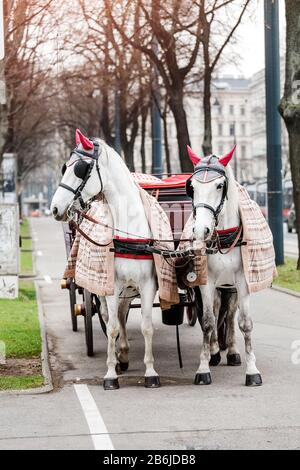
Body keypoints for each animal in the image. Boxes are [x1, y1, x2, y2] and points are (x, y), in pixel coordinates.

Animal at [50, 129, 161, 390]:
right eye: (64, 166)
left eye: (79, 168)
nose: (54, 208)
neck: (130, 230)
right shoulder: (112, 286)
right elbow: (111, 328)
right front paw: (111, 373)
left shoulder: (148, 285)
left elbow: (146, 327)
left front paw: (150, 372)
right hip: (106, 289)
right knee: (110, 316)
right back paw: (119, 357)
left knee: (121, 314)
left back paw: (124, 353)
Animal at [186, 146, 262, 386]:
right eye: (192, 187)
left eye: (220, 185)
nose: (201, 230)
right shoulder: (206, 282)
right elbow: (208, 321)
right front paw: (203, 367)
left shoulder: (242, 282)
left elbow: (244, 323)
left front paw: (252, 370)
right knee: (217, 310)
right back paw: (214, 351)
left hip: (231, 286)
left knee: (229, 315)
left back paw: (232, 351)